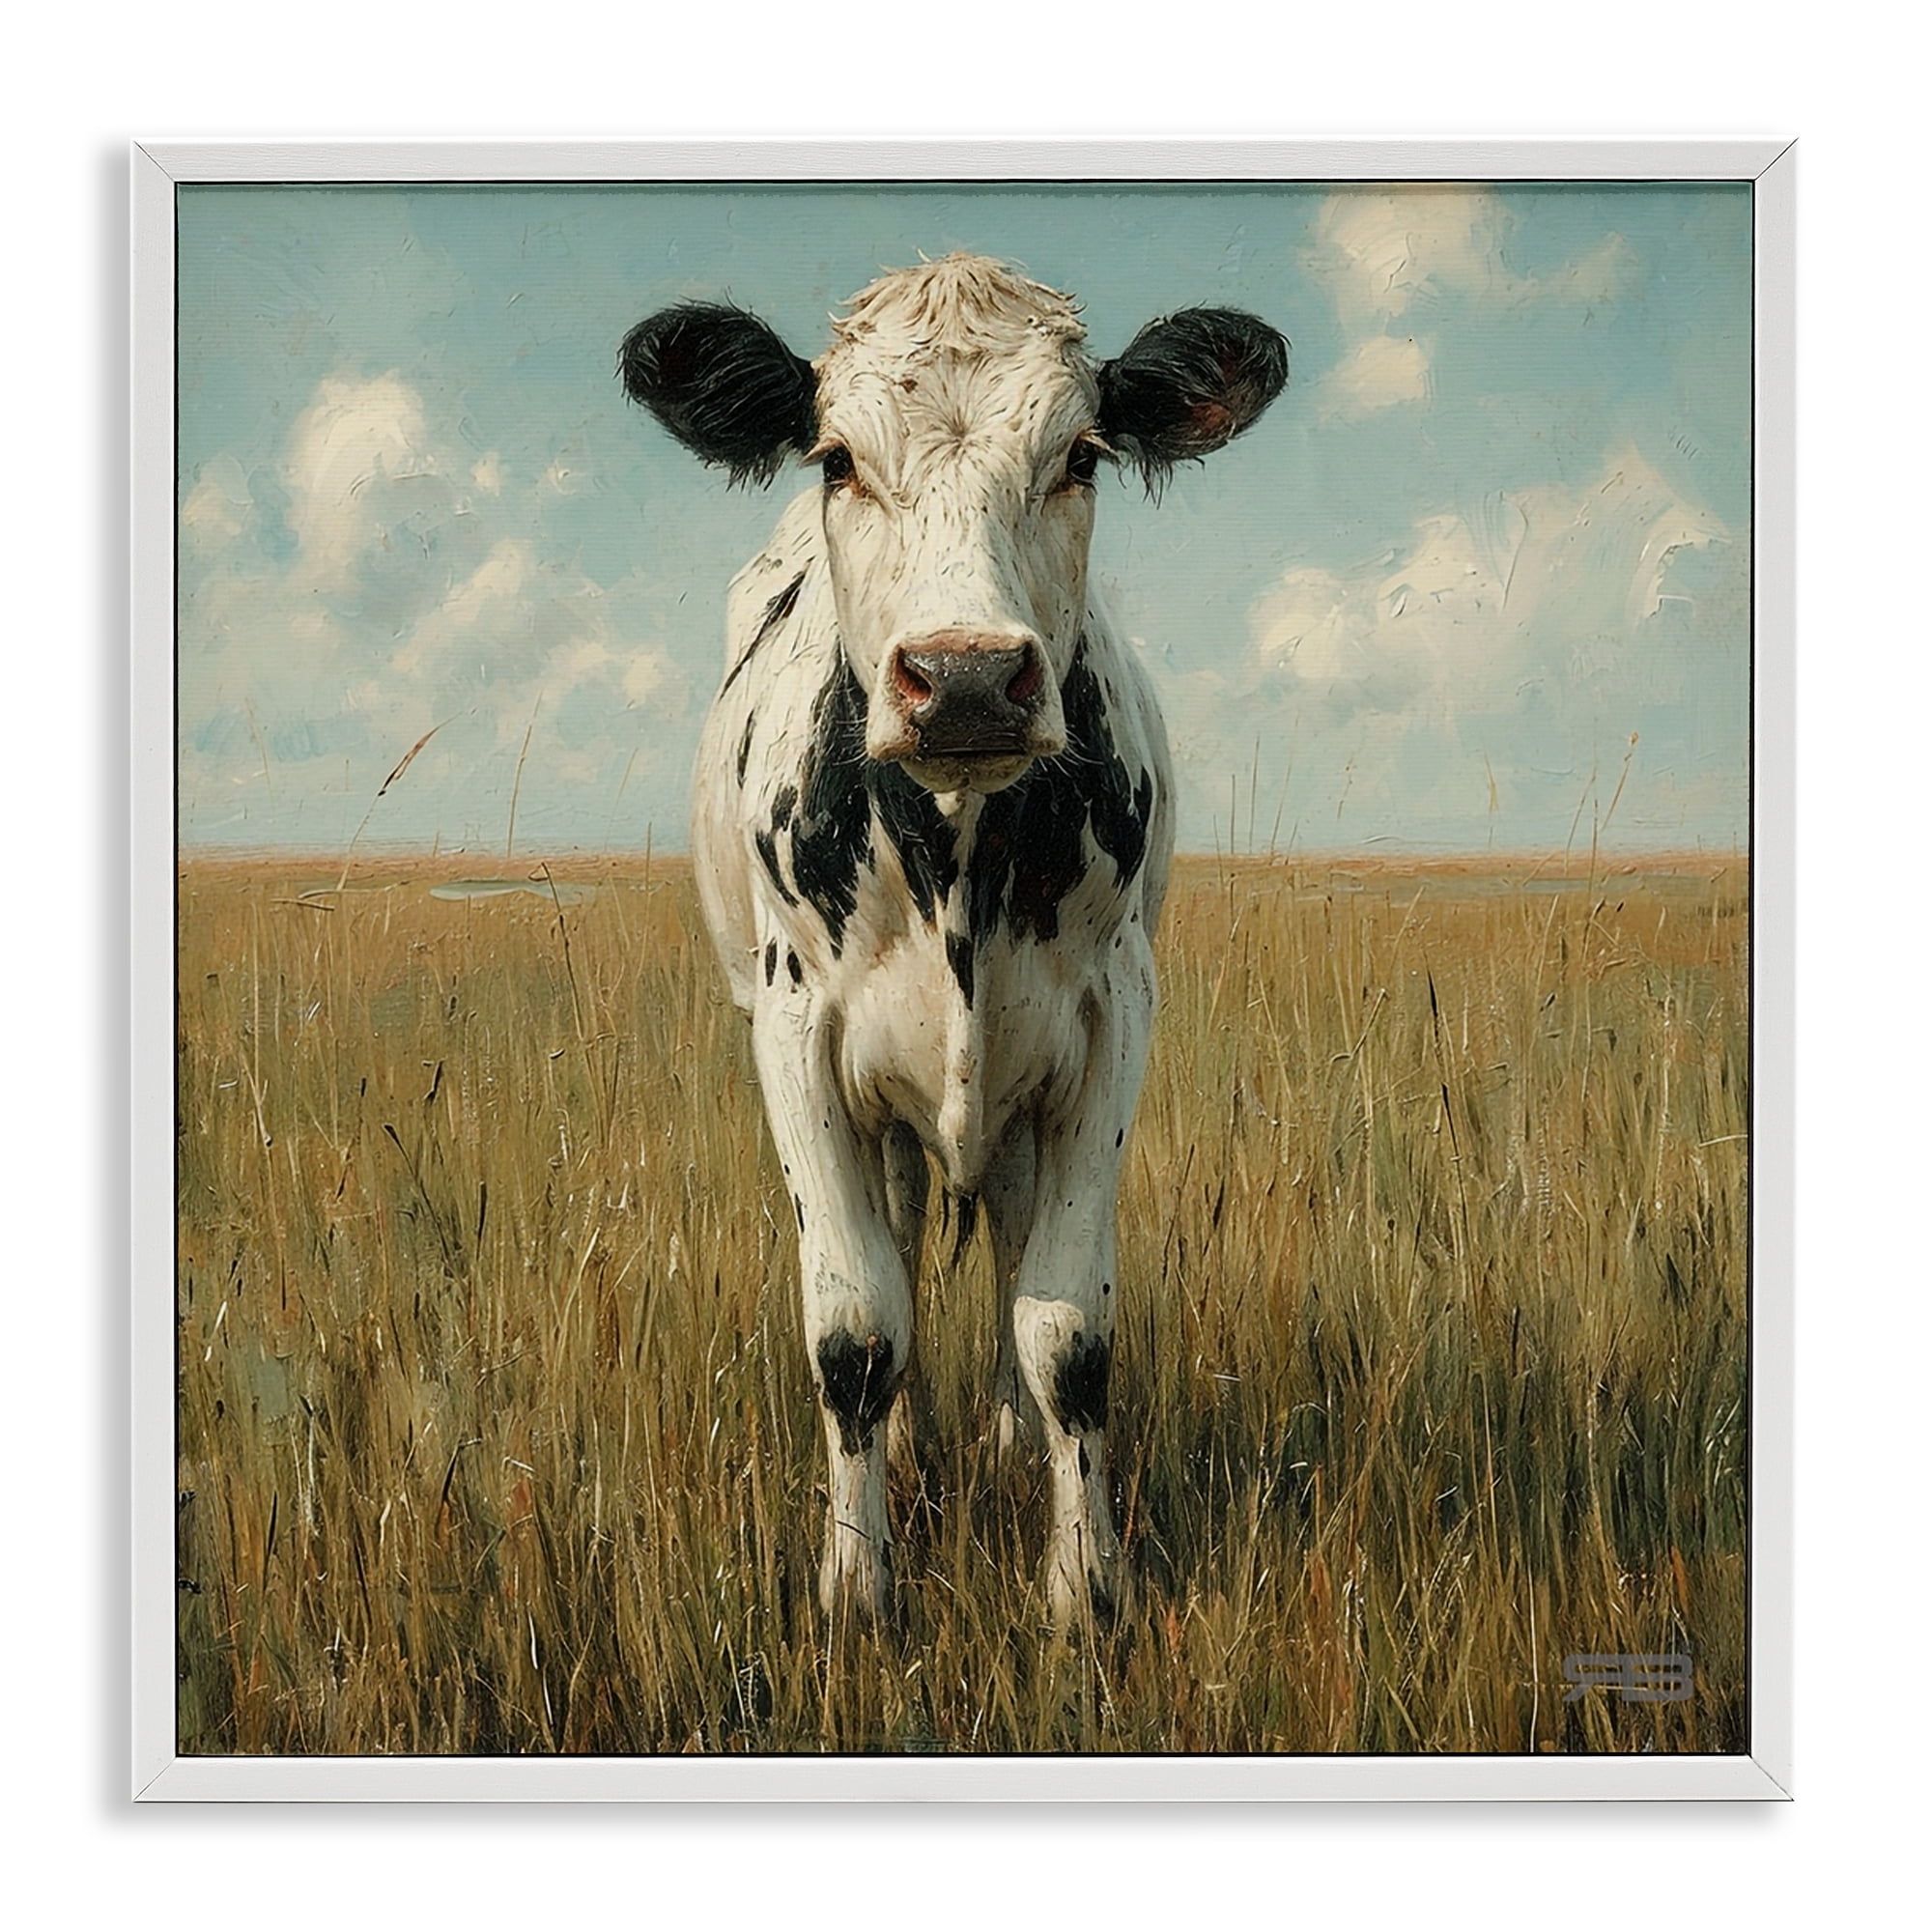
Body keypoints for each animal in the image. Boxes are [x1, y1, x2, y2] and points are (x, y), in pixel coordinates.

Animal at [620, 255, 1287, 1629]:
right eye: (834, 457)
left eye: (1080, 454)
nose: (967, 676)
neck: (957, 861)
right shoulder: (792, 1030)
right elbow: (855, 1324)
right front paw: (856, 1585)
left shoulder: (1110, 1019)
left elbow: (1063, 1325)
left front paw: (1083, 1588)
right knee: (905, 1237)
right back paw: (919, 1444)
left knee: (1004, 1247)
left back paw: (997, 1437)